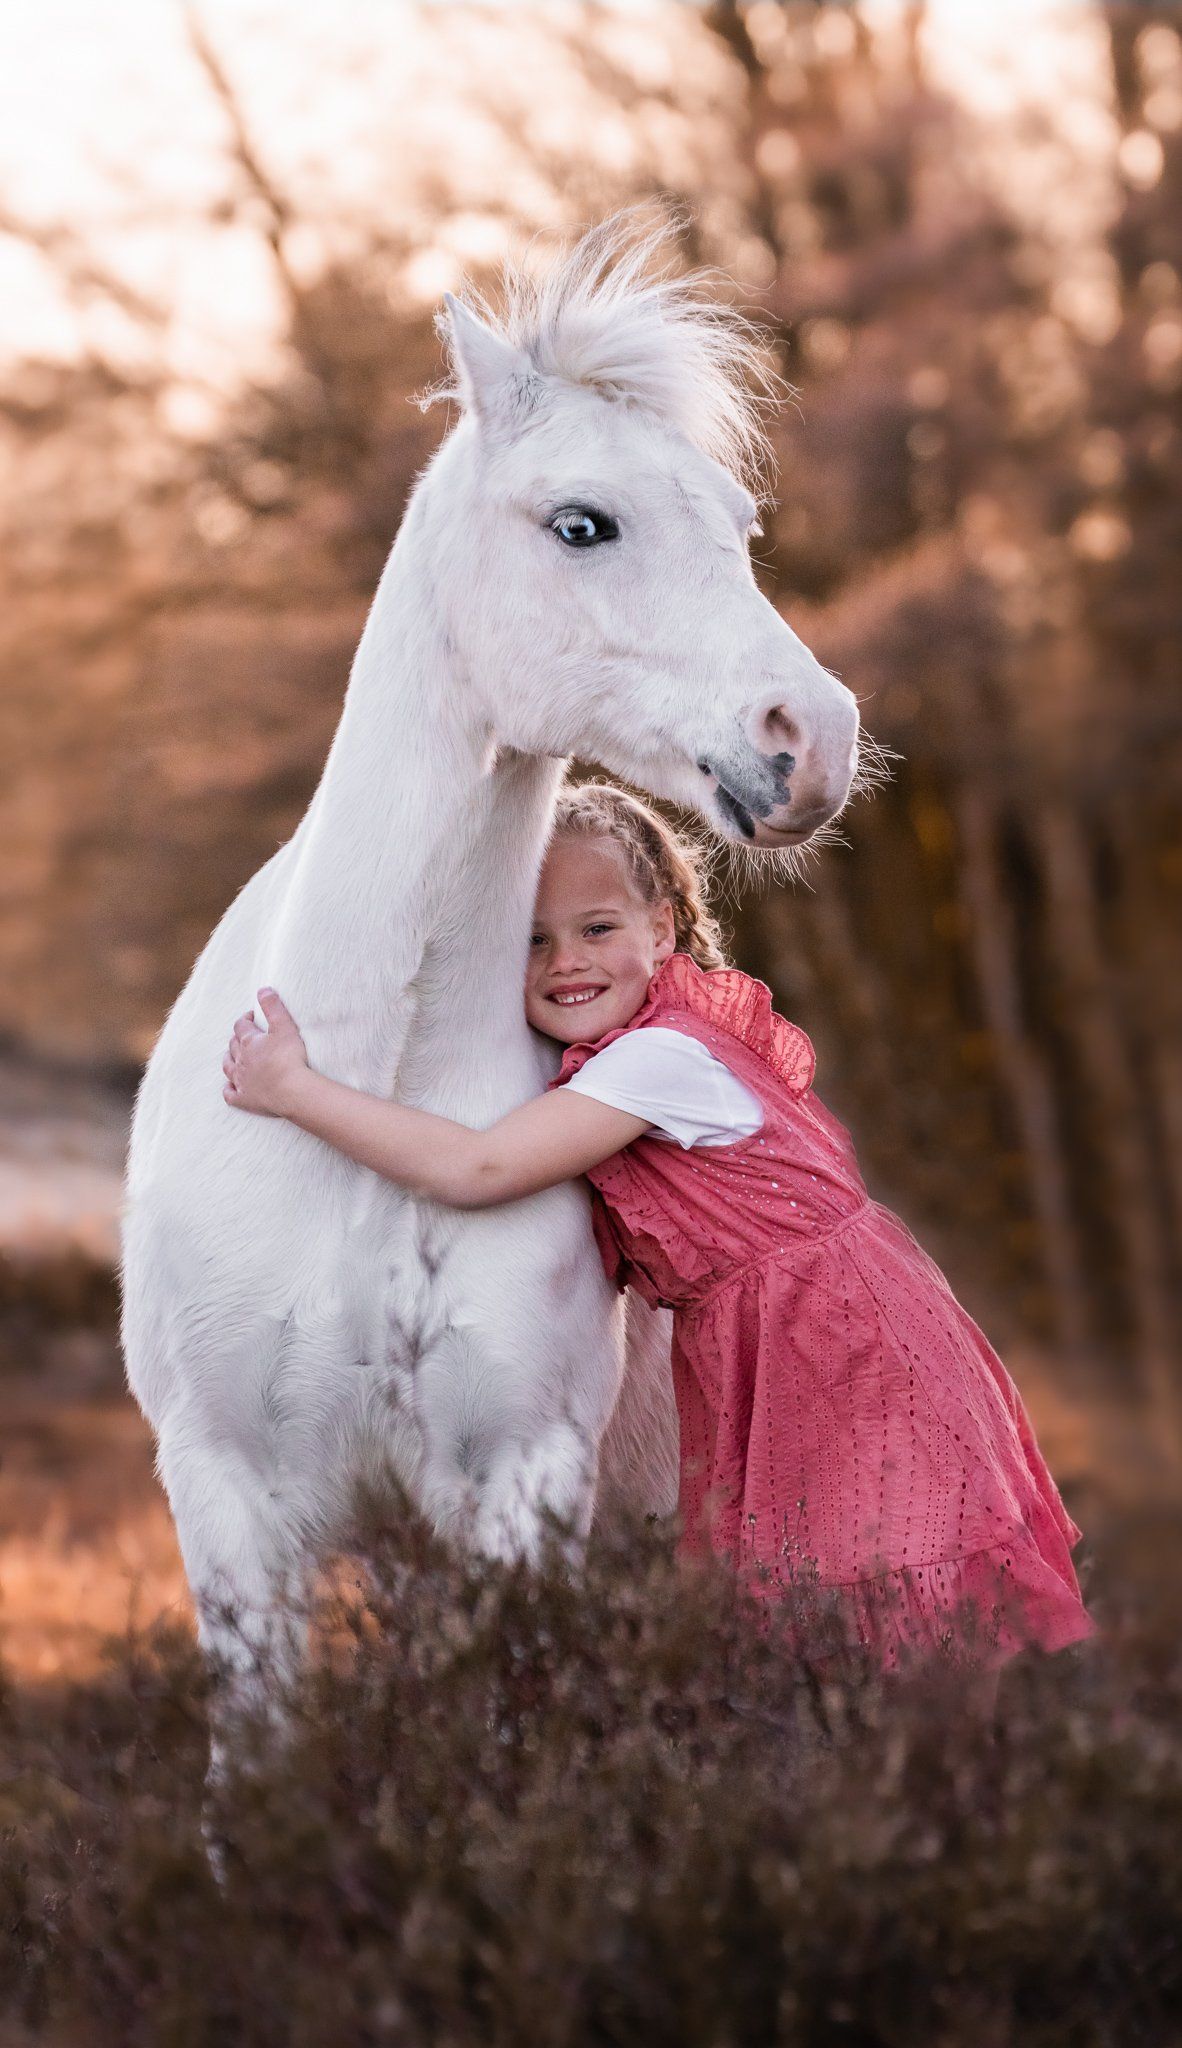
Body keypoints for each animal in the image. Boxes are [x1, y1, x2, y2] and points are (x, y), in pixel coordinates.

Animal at [120, 213, 860, 1749]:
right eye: (582, 522)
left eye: (740, 529)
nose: (812, 738)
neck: (369, 1093)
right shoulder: (230, 1501)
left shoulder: (518, 1487)